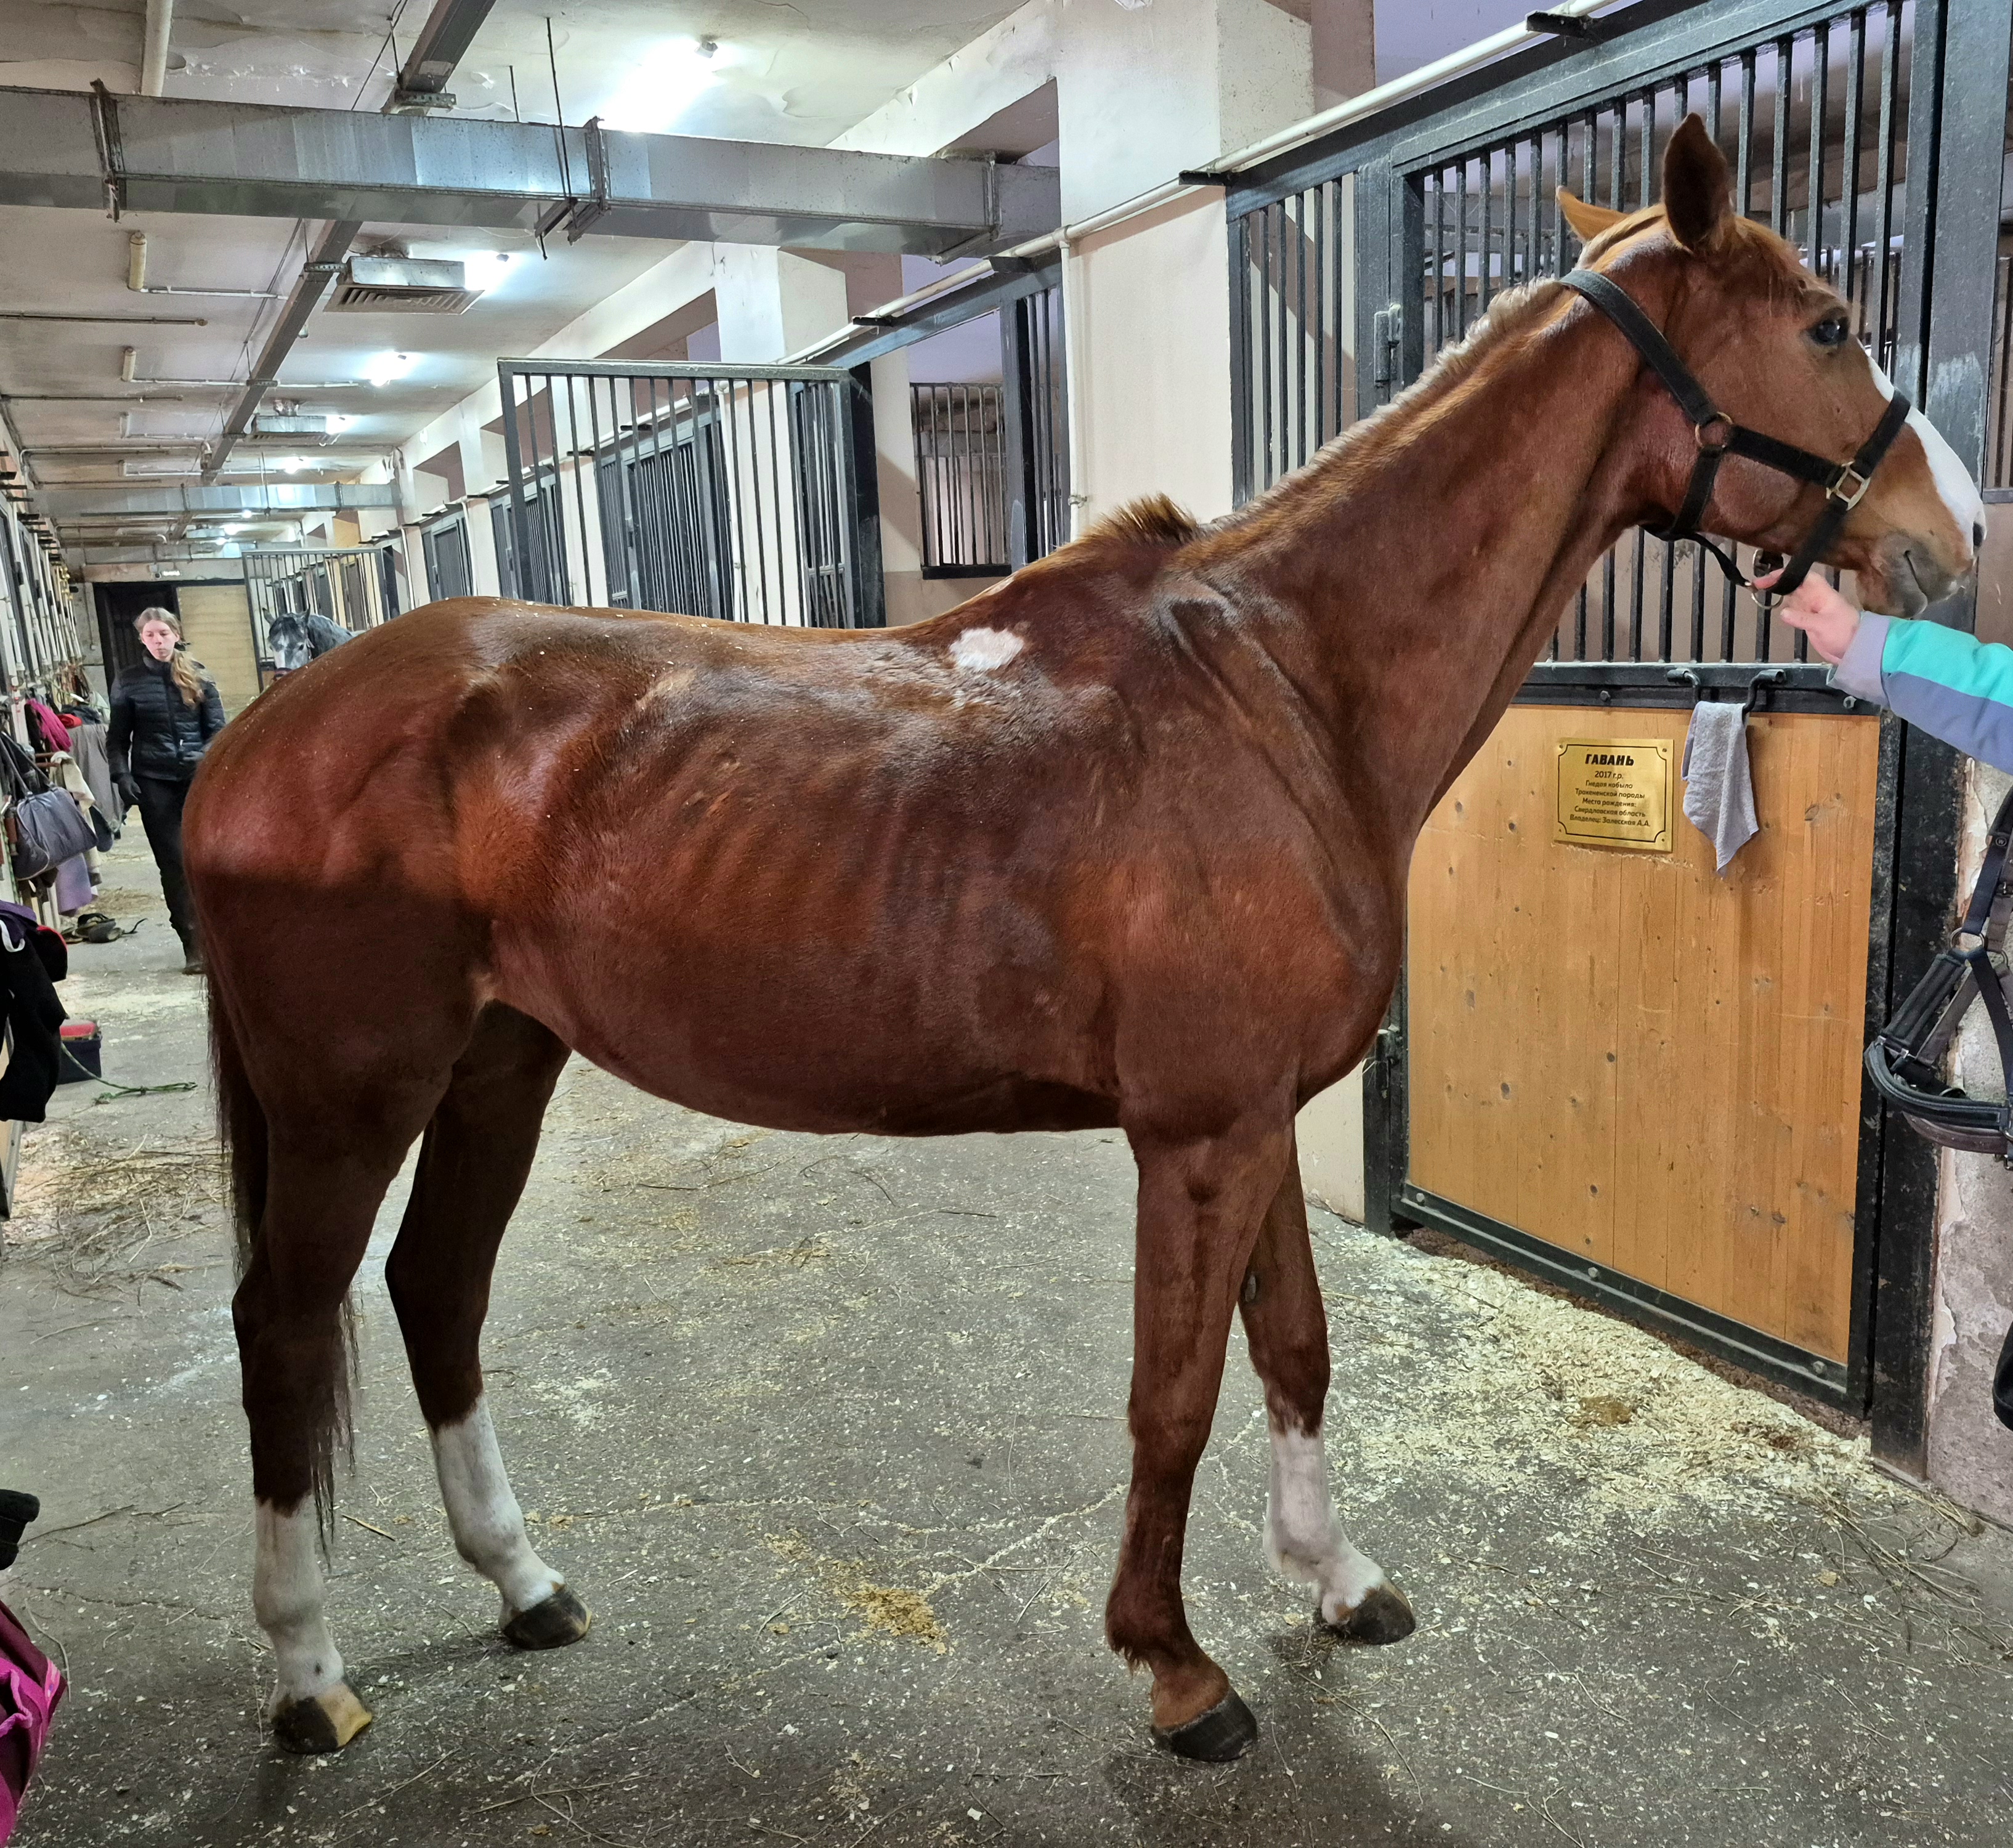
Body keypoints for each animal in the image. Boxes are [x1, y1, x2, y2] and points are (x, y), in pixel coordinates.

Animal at [185, 117, 1981, 1763]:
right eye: (1826, 320)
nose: (1954, 541)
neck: (1279, 689)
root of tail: (265, 727)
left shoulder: (1254, 1121)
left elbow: (1295, 1346)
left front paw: (1337, 1580)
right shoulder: (1192, 1134)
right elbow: (1171, 1396)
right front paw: (1175, 1666)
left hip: (502, 1060)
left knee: (434, 1291)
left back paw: (524, 1584)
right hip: (352, 1098)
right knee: (285, 1325)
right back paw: (304, 1675)